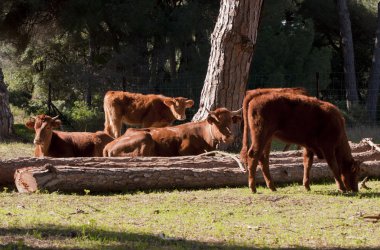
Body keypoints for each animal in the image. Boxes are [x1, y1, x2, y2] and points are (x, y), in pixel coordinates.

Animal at [102, 108, 242, 158]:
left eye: (231, 121)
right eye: (217, 122)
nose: (229, 136)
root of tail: (107, 146)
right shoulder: (183, 150)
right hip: (145, 136)